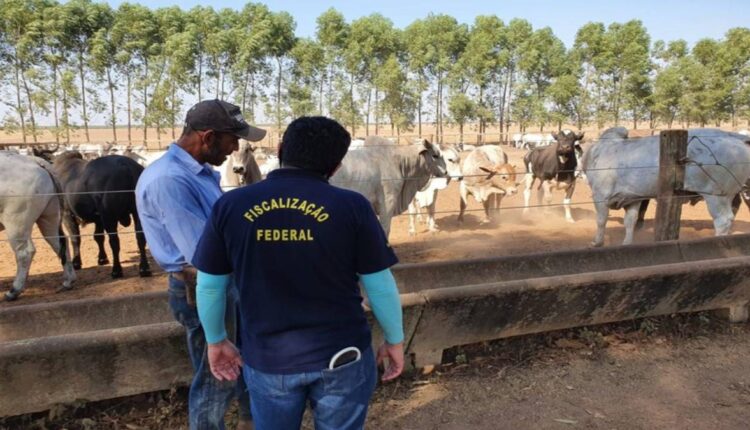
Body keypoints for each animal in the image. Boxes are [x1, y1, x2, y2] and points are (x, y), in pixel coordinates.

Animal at [0, 153, 75, 300]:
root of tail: (32, 160)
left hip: (16, 223)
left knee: (25, 252)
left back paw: (14, 291)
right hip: (49, 217)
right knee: (59, 244)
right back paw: (68, 282)